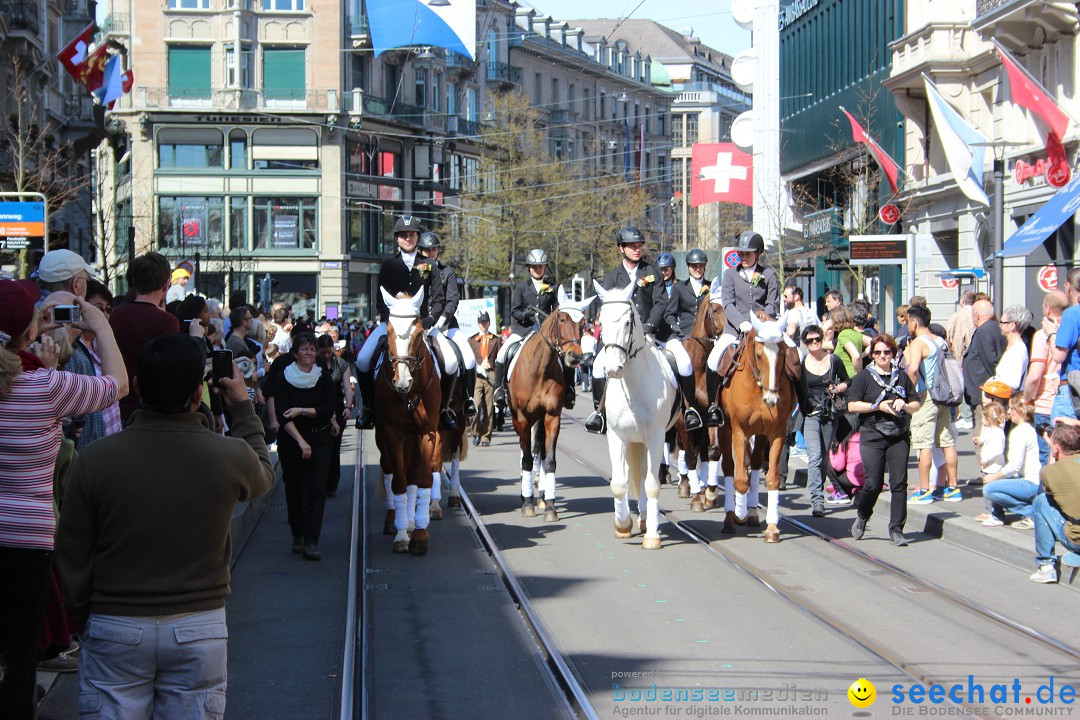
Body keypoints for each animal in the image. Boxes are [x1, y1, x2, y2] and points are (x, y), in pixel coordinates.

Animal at [371, 289, 438, 557]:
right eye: (389, 330)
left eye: (418, 332)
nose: (402, 381)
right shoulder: (393, 433)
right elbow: (398, 482)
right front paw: (401, 535)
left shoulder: (427, 433)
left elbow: (422, 479)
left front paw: (419, 534)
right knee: (391, 471)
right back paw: (395, 522)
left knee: (412, 477)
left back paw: (410, 522)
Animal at [509, 284, 596, 518]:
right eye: (562, 318)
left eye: (584, 324)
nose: (575, 357)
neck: (539, 369)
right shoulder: (522, 418)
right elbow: (526, 459)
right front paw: (527, 504)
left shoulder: (552, 416)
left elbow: (549, 461)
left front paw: (549, 505)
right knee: (526, 453)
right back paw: (526, 496)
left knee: (538, 453)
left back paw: (539, 496)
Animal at [591, 278, 673, 548]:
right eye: (600, 321)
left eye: (628, 322)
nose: (613, 369)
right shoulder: (617, 437)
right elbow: (619, 483)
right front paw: (623, 524)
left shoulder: (656, 437)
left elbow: (652, 485)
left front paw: (652, 536)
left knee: (646, 476)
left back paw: (647, 520)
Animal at [721, 313, 799, 544]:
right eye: (758, 353)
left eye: (783, 352)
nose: (772, 399)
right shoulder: (739, 431)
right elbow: (740, 479)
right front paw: (739, 514)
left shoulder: (777, 433)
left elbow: (772, 479)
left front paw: (772, 528)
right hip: (724, 428)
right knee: (728, 467)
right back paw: (730, 518)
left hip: (762, 434)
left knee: (755, 464)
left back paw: (754, 512)